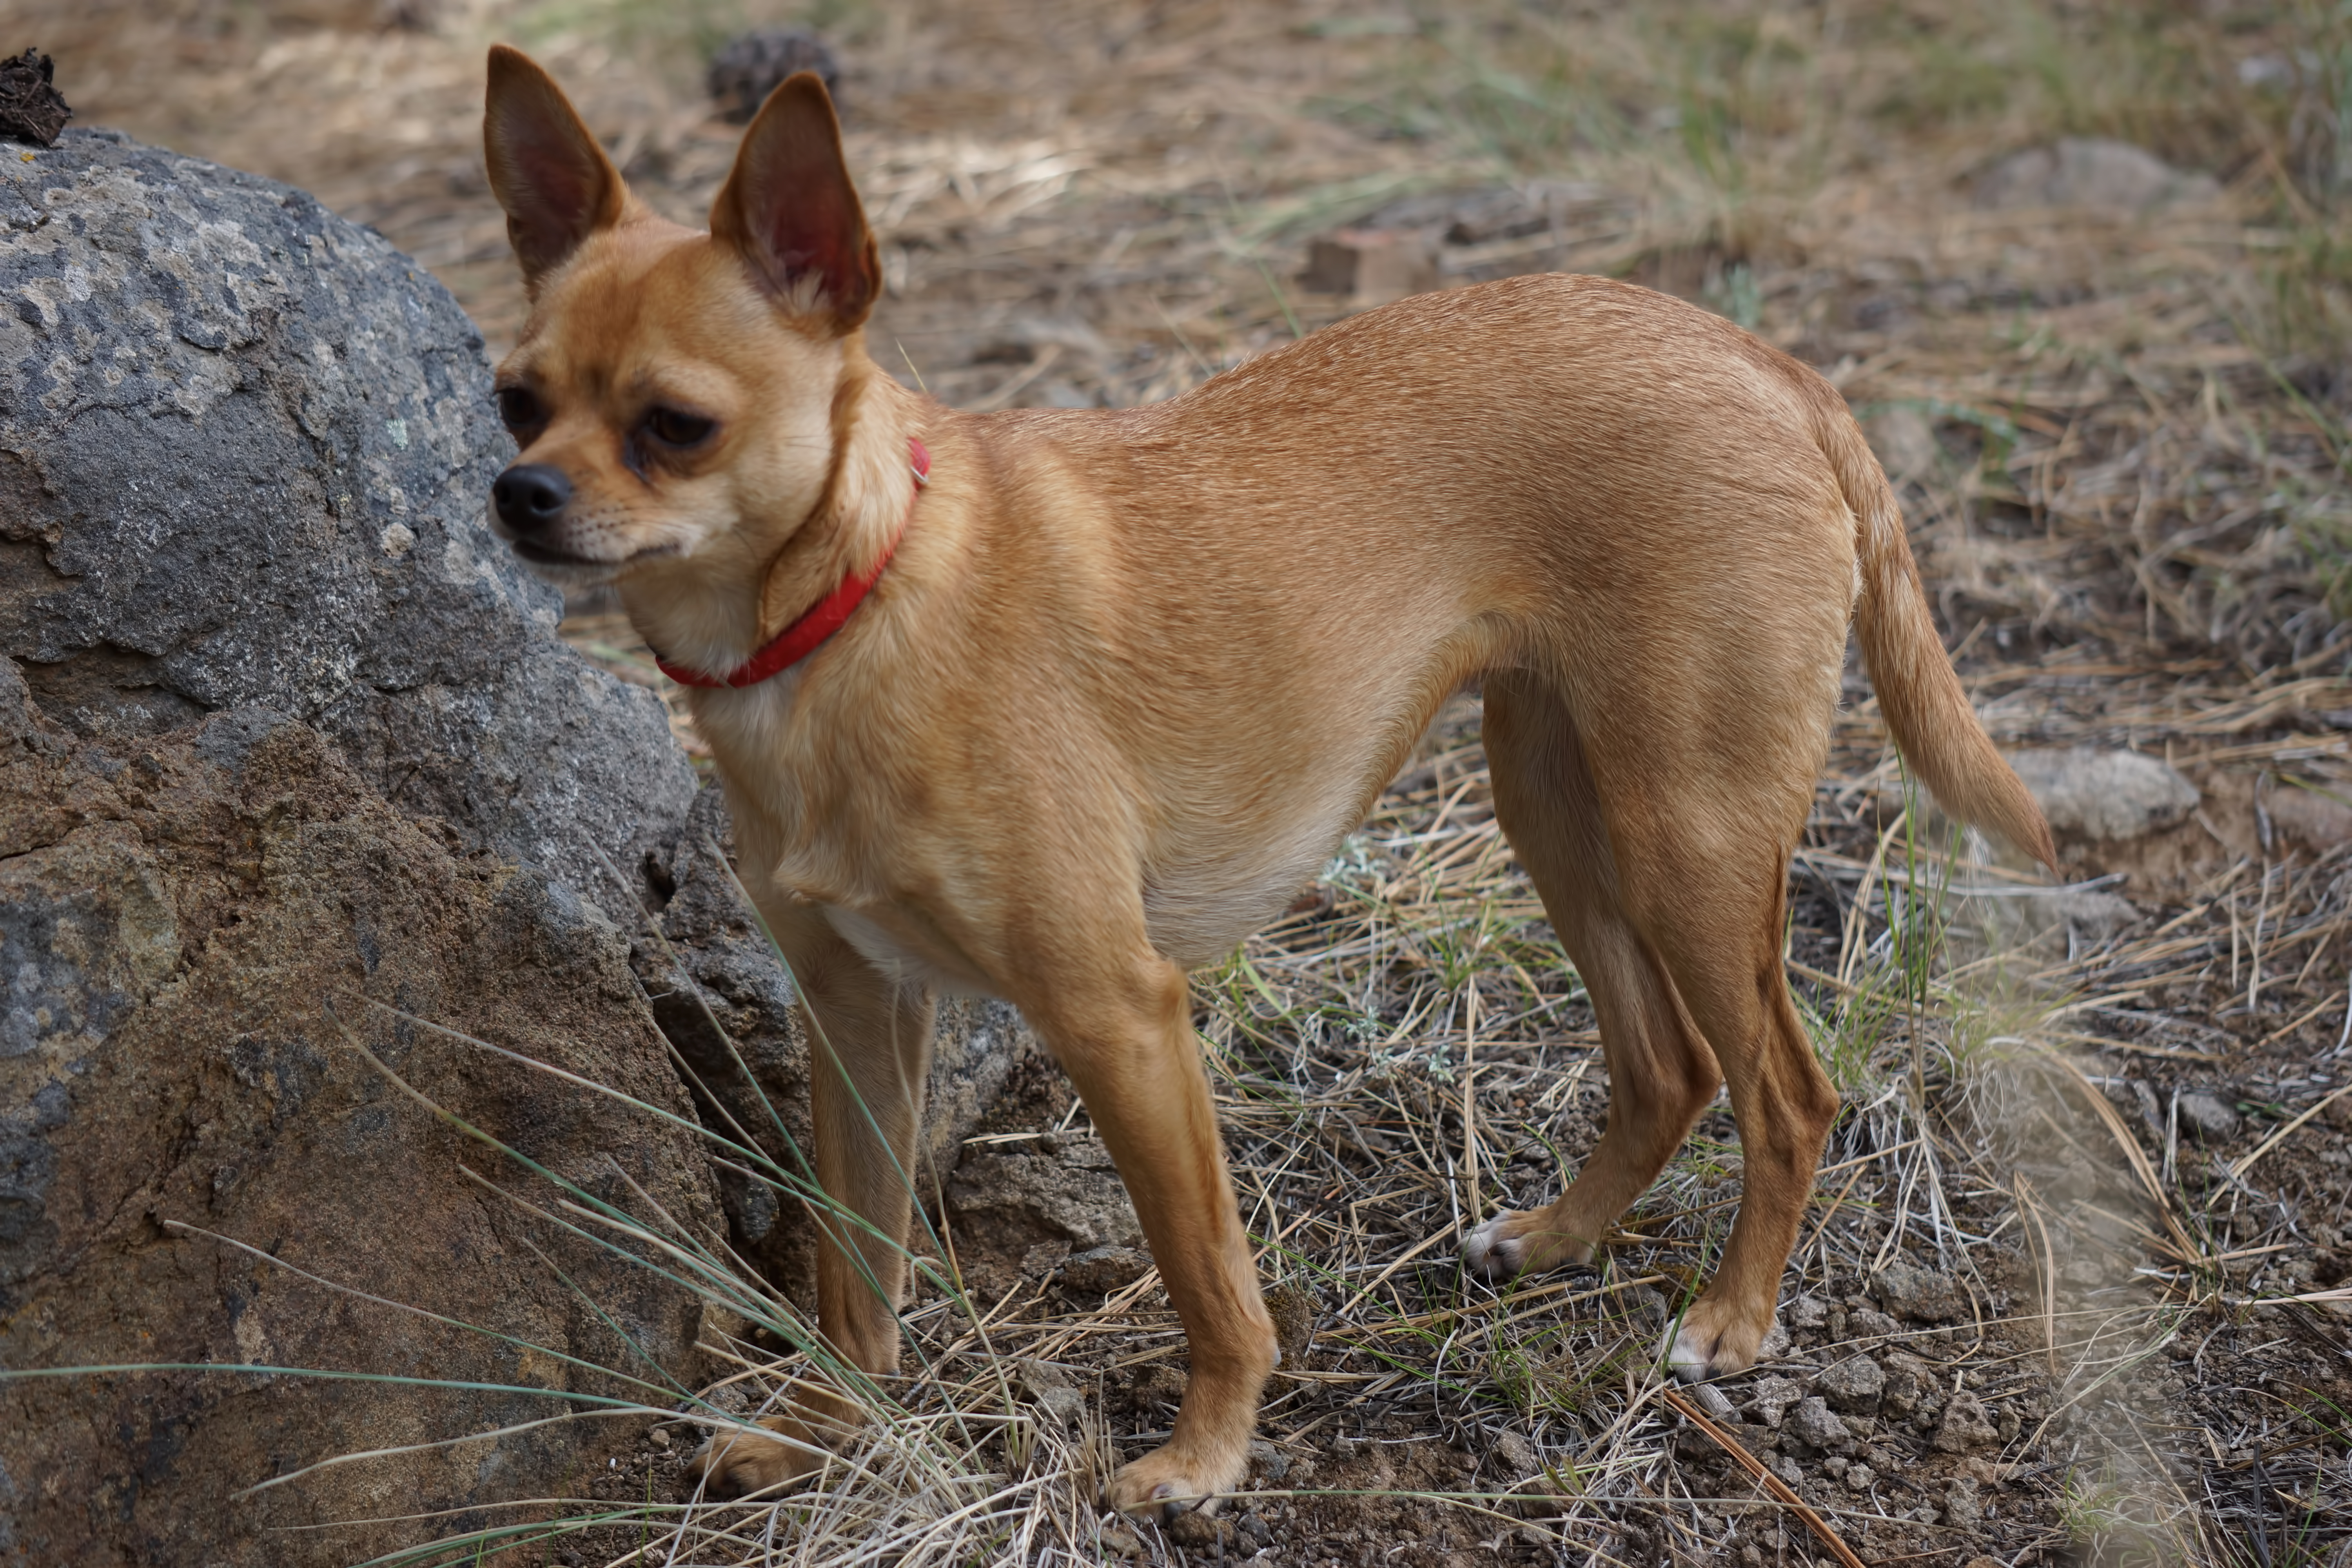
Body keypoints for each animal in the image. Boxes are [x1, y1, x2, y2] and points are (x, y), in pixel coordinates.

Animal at [482, 52, 2060, 1523]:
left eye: (675, 424)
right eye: (513, 402)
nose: (518, 495)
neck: (849, 604)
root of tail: (1762, 360)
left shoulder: (1118, 1015)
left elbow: (1204, 1273)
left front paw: (1204, 1454)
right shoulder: (857, 1016)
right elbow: (851, 1258)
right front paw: (826, 1426)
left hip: (1687, 837)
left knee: (1786, 1089)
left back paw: (1730, 1318)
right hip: (1556, 809)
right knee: (1667, 1067)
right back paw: (1555, 1237)